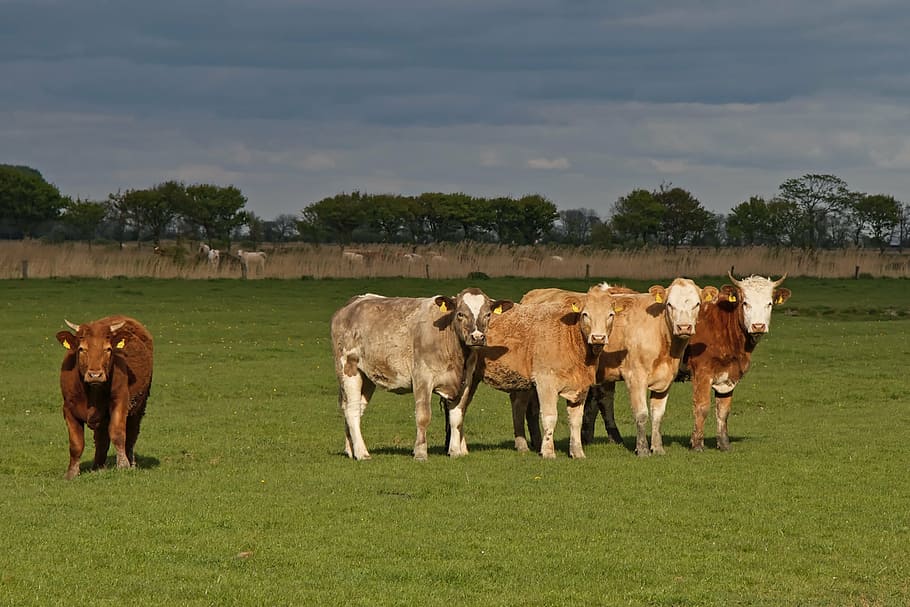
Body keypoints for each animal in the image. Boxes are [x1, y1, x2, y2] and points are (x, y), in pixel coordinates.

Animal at [55, 316, 154, 480]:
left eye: (108, 349)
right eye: (81, 349)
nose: (95, 375)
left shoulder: (120, 402)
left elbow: (118, 433)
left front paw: (123, 465)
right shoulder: (68, 408)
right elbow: (76, 443)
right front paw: (71, 473)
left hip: (139, 406)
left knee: (131, 434)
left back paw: (131, 462)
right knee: (101, 439)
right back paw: (98, 466)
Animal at [331, 288, 513, 461]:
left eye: (488, 314)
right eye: (460, 314)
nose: (477, 337)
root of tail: (354, 302)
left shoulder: (466, 381)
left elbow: (457, 417)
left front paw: (455, 451)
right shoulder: (422, 377)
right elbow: (423, 416)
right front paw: (420, 453)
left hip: (367, 377)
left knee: (356, 408)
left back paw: (351, 450)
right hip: (349, 368)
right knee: (352, 410)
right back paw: (362, 453)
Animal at [446, 284, 617, 459]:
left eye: (610, 315)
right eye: (585, 314)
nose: (598, 337)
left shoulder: (581, 386)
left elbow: (576, 420)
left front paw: (577, 452)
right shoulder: (545, 382)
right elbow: (549, 417)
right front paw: (548, 451)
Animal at [683, 273, 791, 451]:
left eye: (769, 303)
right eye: (745, 302)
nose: (758, 326)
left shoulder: (729, 375)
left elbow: (723, 411)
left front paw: (724, 444)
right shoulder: (702, 372)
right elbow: (702, 407)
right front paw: (697, 444)